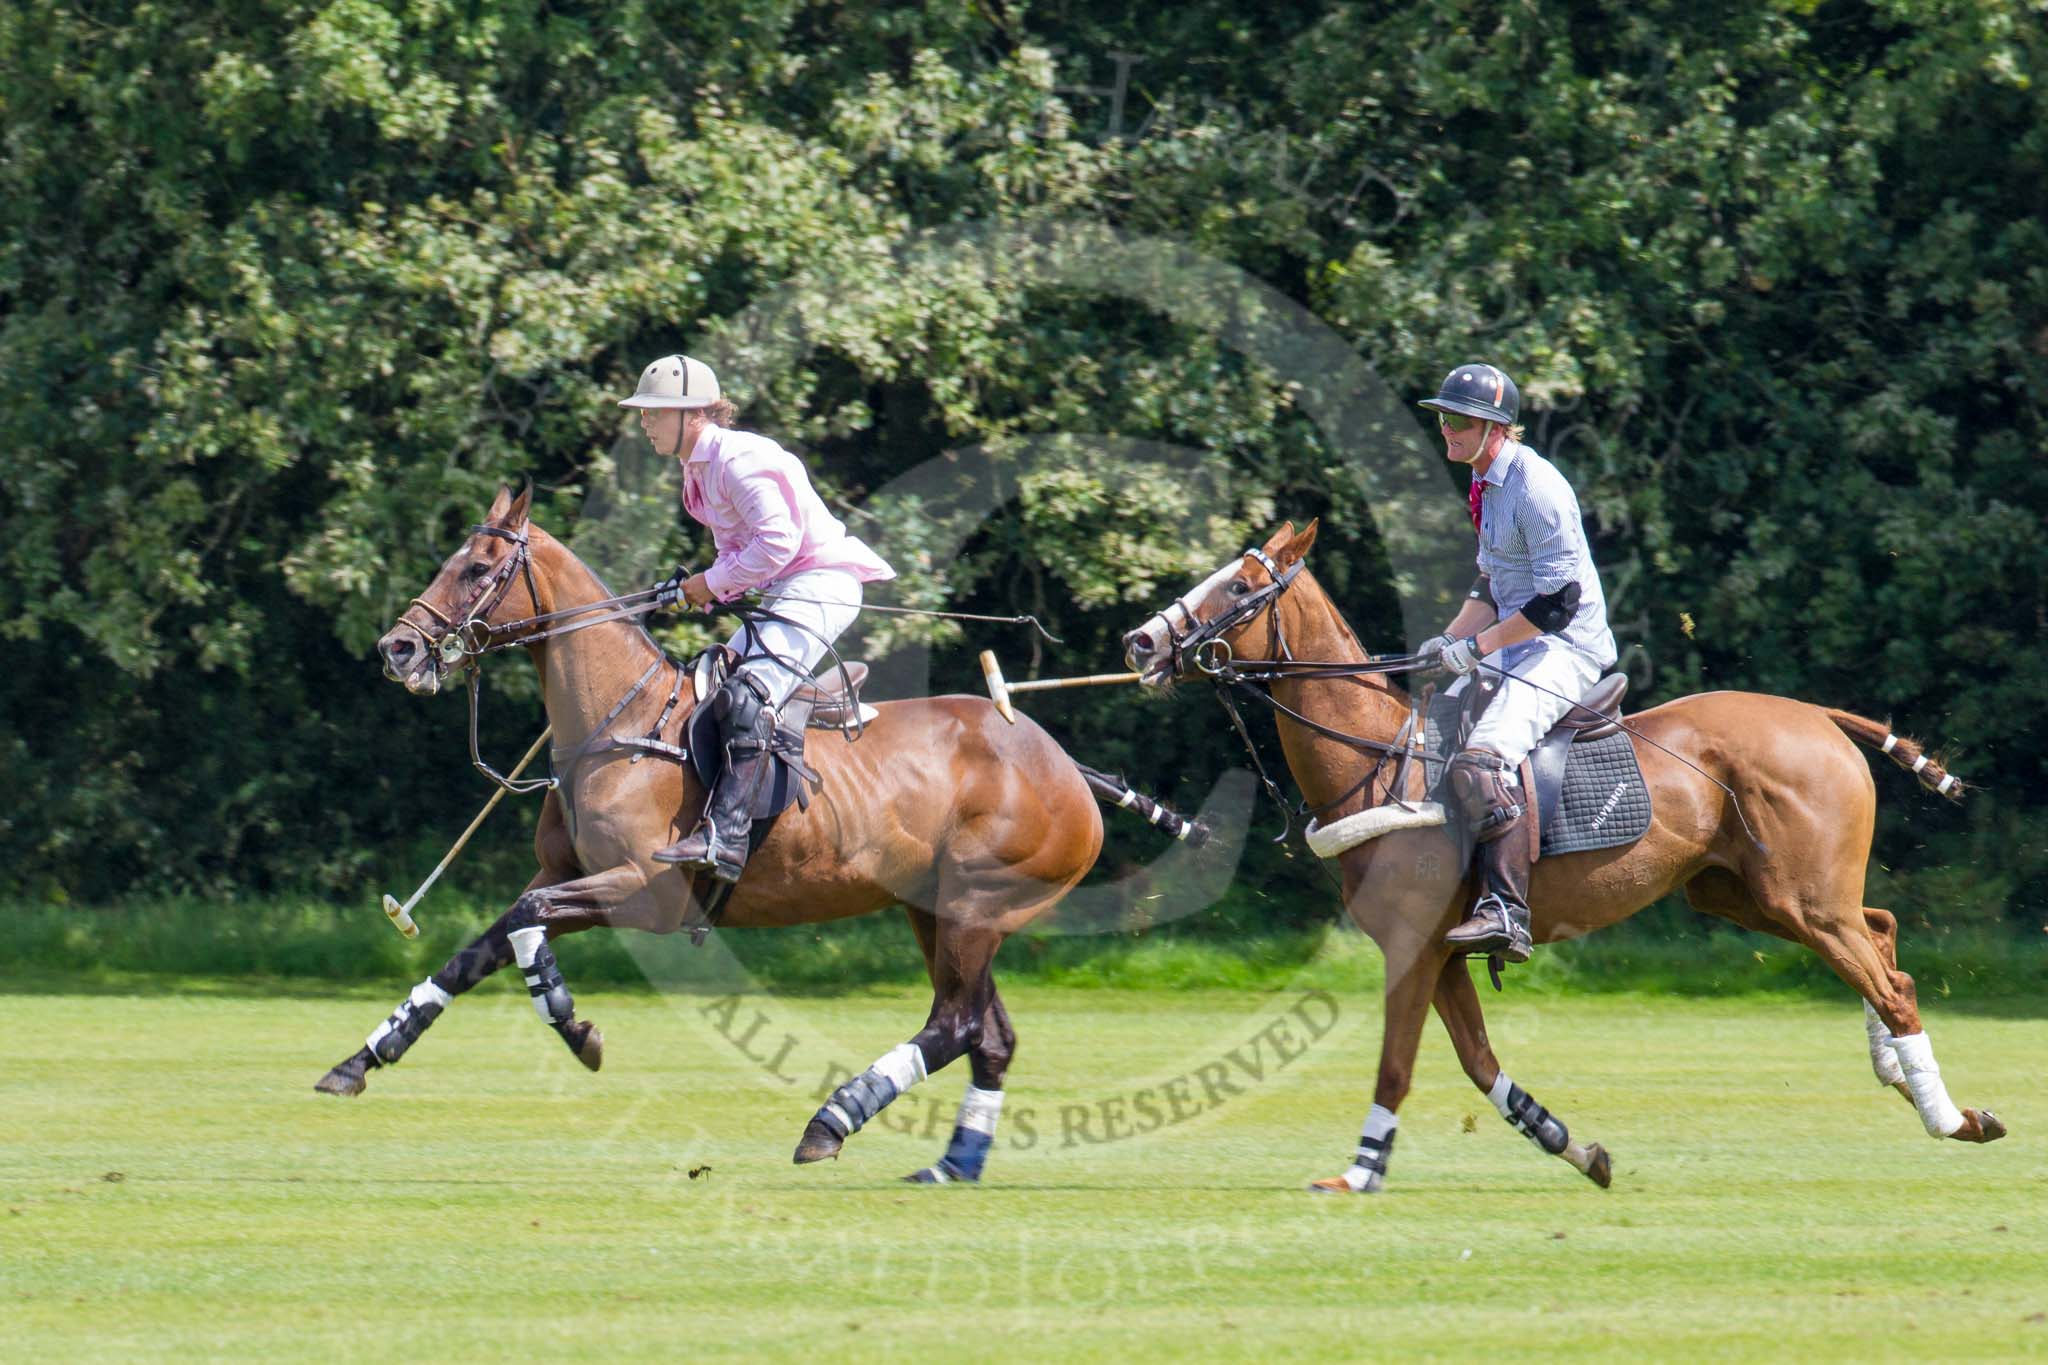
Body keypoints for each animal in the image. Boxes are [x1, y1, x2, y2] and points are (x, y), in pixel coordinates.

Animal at [313, 489, 1105, 1186]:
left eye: (478, 568)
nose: (397, 647)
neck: (617, 722)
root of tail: (1067, 767)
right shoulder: (560, 874)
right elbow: (479, 947)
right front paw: (361, 1059)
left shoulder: (646, 893)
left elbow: (523, 923)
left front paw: (574, 1027)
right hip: (934, 910)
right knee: (988, 1035)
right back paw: (951, 1164)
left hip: (975, 906)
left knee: (955, 1023)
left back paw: (831, 1121)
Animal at [1122, 523, 1998, 1195]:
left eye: (1239, 585)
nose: (1141, 641)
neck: (1383, 759)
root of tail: (1820, 716)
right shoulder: (1443, 953)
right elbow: (1479, 1063)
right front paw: (1580, 1150)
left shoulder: (1413, 947)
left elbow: (1396, 1066)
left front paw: (1359, 1172)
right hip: (1748, 893)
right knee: (1880, 934)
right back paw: (1908, 1080)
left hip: (1798, 897)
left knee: (1890, 981)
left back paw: (1951, 1118)